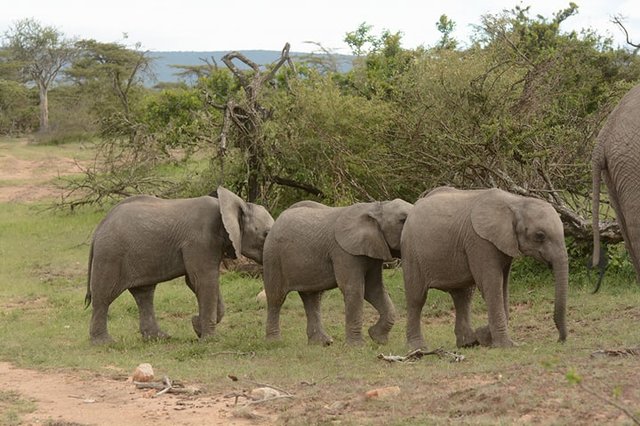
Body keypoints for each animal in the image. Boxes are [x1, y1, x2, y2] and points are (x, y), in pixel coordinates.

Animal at [86, 186, 274, 344]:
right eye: (266, 234)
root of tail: (98, 229)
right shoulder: (201, 240)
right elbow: (204, 280)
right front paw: (209, 340)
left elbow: (198, 282)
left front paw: (196, 326)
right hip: (110, 255)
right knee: (104, 296)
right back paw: (105, 343)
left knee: (144, 293)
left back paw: (159, 338)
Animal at [263, 198, 413, 345]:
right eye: (402, 220)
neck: (376, 207)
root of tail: (278, 218)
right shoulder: (343, 252)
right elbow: (354, 289)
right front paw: (356, 346)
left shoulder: (373, 250)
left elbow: (374, 289)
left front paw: (377, 338)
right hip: (273, 257)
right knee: (276, 297)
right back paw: (274, 342)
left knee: (312, 297)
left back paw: (323, 343)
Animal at [401, 186, 568, 350]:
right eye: (540, 235)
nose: (559, 340)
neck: (516, 202)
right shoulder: (480, 241)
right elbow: (492, 285)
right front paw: (505, 345)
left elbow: (503, 287)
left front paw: (484, 336)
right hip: (411, 251)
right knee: (417, 298)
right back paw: (419, 348)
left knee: (463, 296)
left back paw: (468, 343)